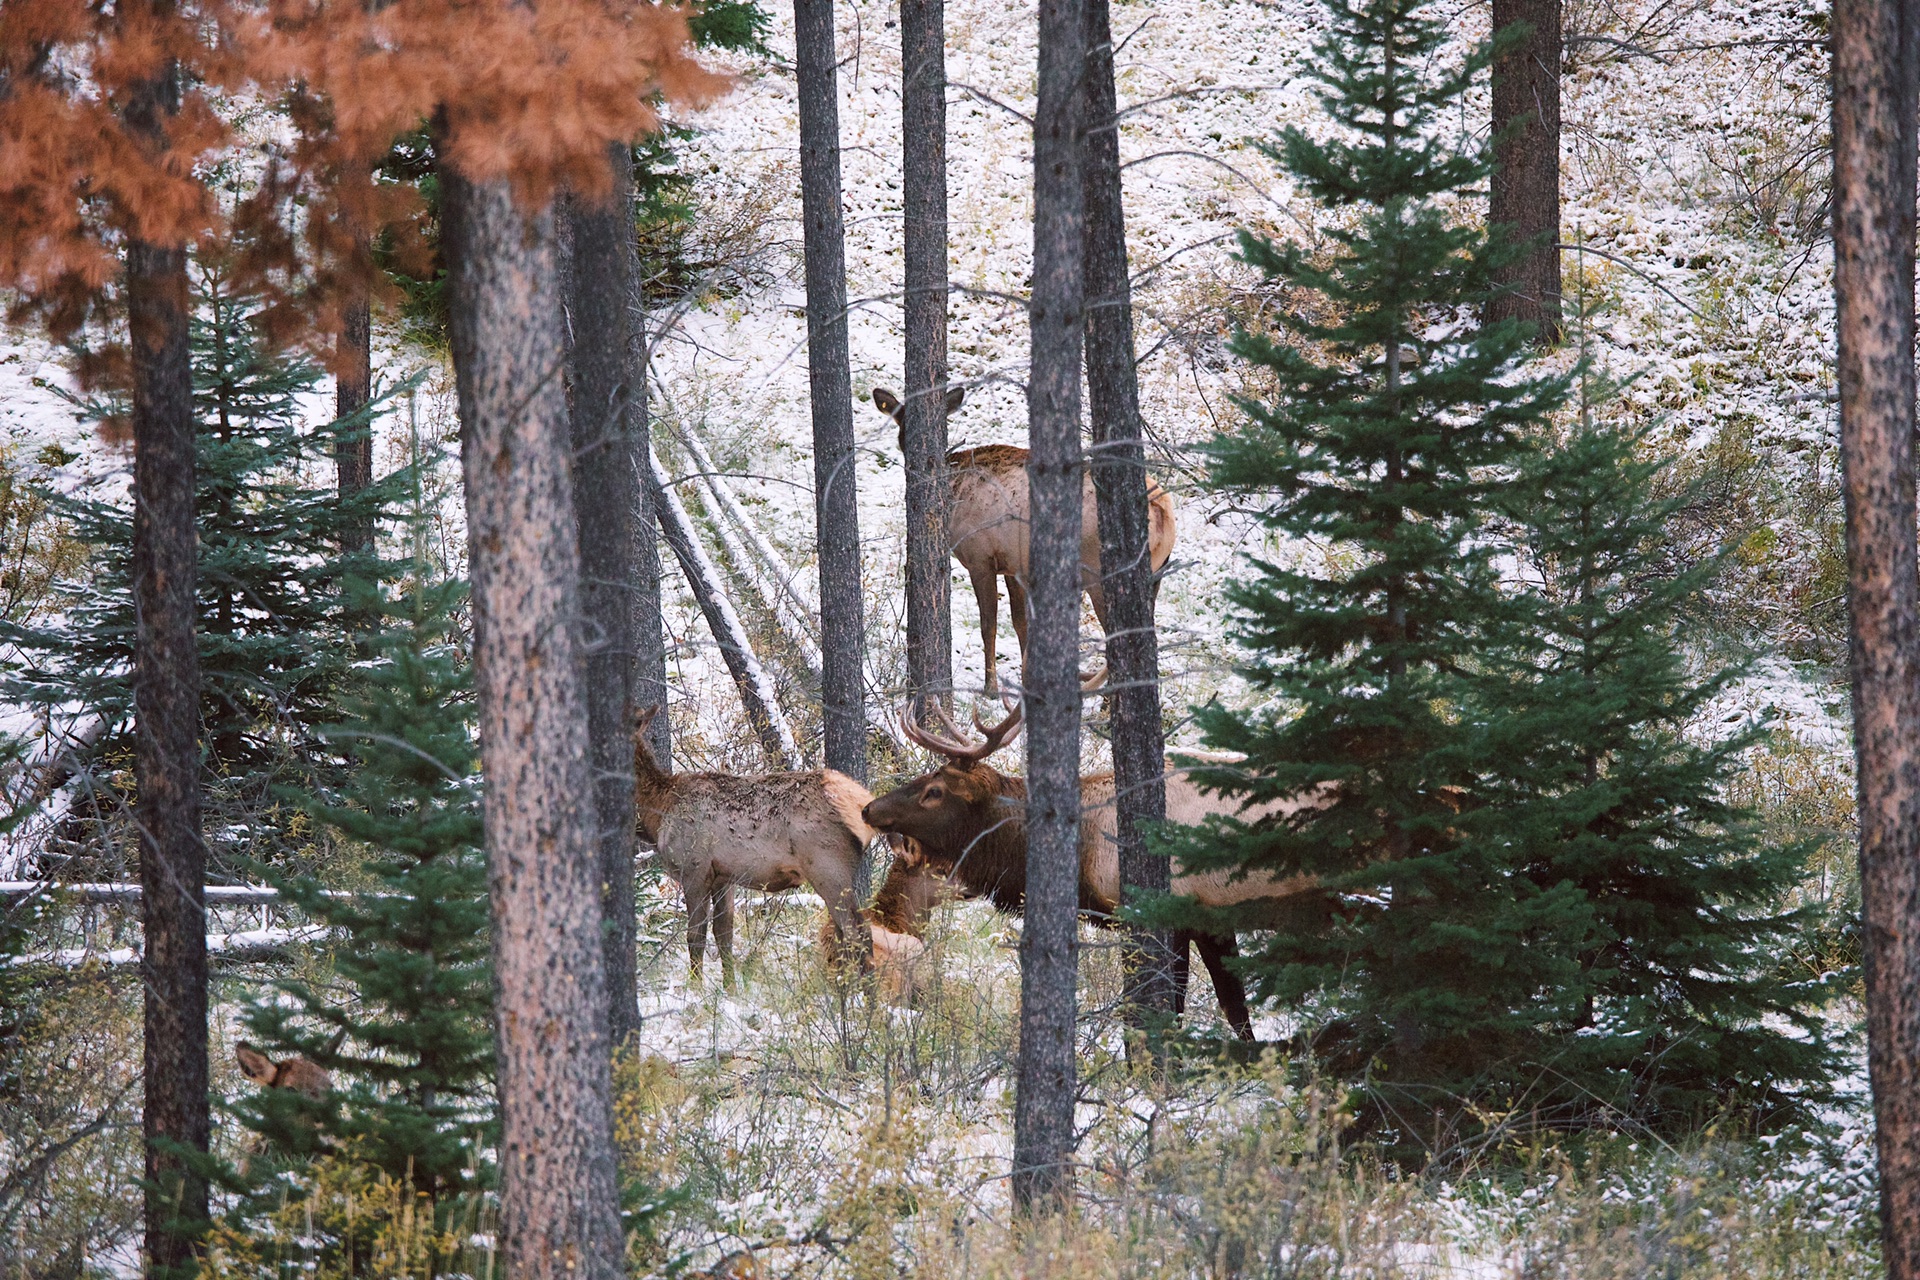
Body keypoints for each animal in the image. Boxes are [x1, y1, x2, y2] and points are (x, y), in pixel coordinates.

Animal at [637, 706, 879, 990]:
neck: (658, 812)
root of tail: (862, 801)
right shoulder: (723, 877)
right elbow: (724, 934)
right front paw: (730, 989)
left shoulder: (694, 869)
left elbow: (695, 936)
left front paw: (696, 988)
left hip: (827, 867)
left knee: (857, 932)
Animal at [864, 690, 1328, 1043]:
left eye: (934, 791)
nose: (870, 808)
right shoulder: (1210, 916)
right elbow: (1235, 1007)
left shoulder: (1164, 912)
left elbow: (1172, 1006)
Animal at [871, 385, 1167, 694]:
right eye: (899, 416)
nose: (905, 443)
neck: (953, 494)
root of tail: (1163, 514)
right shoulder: (1013, 564)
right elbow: (1020, 622)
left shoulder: (980, 557)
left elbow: (988, 623)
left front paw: (990, 686)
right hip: (1155, 575)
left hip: (1097, 573)